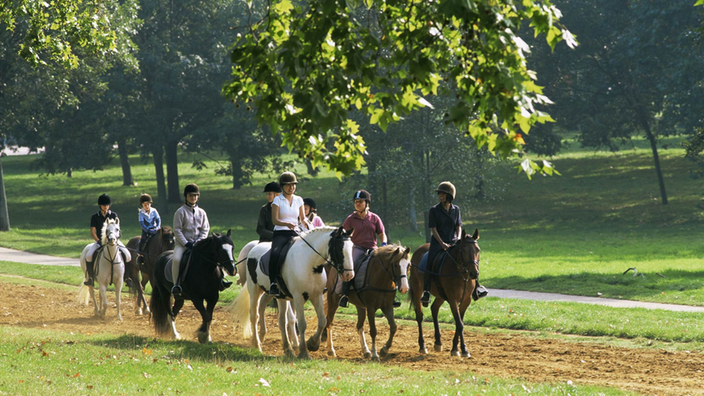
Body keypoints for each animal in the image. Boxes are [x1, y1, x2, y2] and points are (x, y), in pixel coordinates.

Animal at [230, 226, 354, 358]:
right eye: (339, 248)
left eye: (351, 247)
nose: (349, 275)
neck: (310, 262)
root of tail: (253, 249)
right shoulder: (298, 297)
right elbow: (302, 324)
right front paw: (304, 351)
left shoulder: (317, 296)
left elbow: (322, 321)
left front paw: (313, 344)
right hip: (254, 289)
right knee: (254, 315)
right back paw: (256, 344)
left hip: (277, 296)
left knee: (279, 319)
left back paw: (287, 348)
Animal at [408, 227, 478, 358]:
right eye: (463, 250)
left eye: (478, 249)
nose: (474, 273)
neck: (461, 275)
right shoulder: (452, 300)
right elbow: (459, 324)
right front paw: (464, 350)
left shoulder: (466, 300)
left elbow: (459, 323)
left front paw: (455, 348)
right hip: (417, 290)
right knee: (419, 316)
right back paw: (422, 346)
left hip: (440, 295)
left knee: (434, 308)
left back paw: (438, 342)